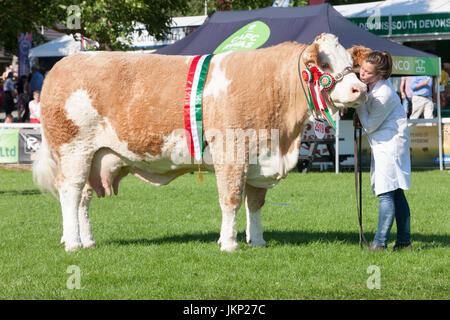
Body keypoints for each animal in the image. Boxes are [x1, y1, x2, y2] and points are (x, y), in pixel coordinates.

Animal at [32, 33, 370, 252]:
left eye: (350, 63)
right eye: (324, 65)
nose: (360, 89)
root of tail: (63, 64)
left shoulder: (260, 159)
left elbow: (256, 203)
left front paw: (258, 242)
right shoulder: (232, 153)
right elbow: (231, 200)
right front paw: (229, 243)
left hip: (95, 156)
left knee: (84, 198)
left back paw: (87, 241)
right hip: (73, 150)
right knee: (70, 192)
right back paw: (73, 243)